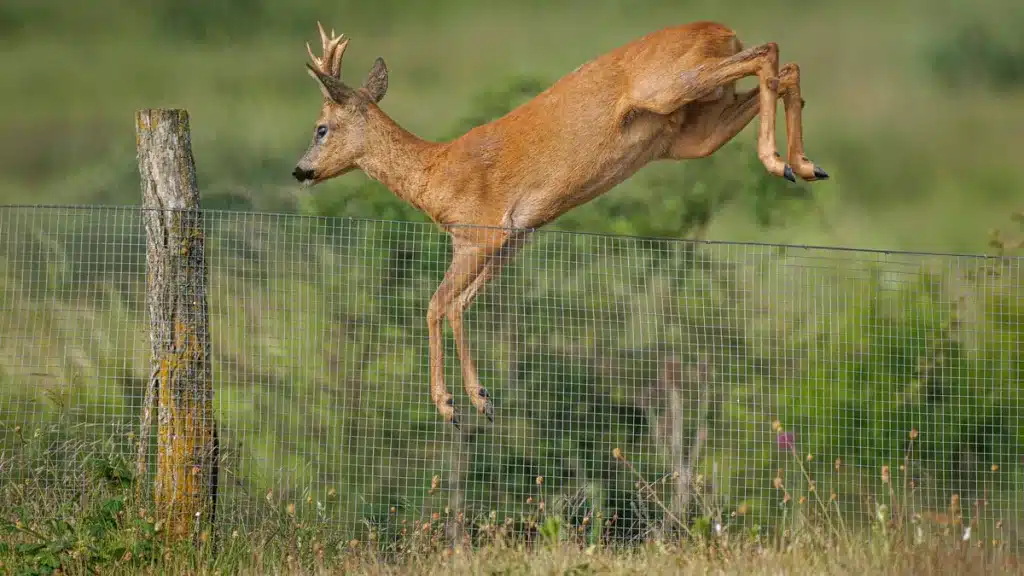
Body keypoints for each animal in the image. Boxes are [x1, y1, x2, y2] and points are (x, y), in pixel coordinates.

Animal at [292, 21, 827, 426]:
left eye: (321, 128)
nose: (300, 170)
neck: (435, 175)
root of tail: (722, 29)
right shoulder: (510, 240)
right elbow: (459, 305)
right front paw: (480, 399)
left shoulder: (478, 234)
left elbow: (435, 305)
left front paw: (451, 405)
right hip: (692, 131)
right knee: (785, 68)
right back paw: (803, 165)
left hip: (672, 87)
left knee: (769, 53)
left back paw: (777, 160)